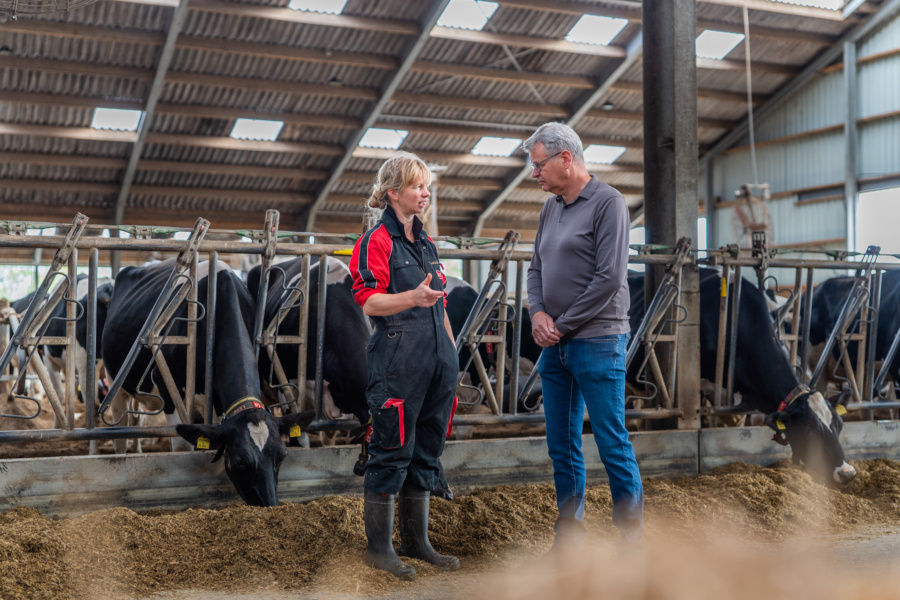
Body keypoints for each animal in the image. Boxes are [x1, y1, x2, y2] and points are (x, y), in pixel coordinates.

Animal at [101, 258, 311, 507]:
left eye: (282, 456)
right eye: (240, 461)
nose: (270, 504)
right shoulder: (168, 390)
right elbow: (183, 446)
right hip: (115, 382)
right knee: (120, 437)